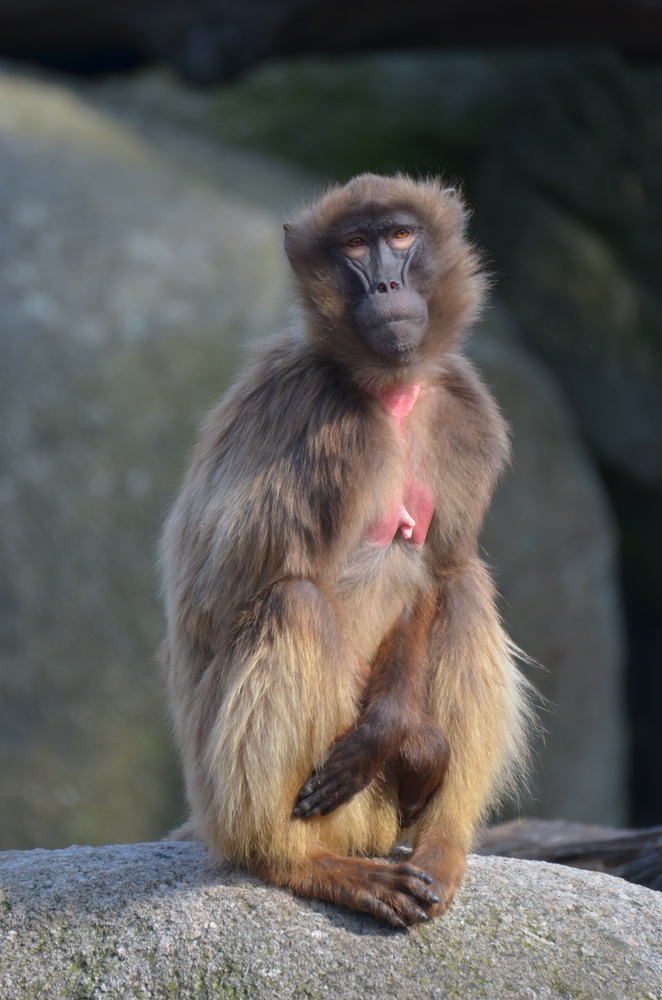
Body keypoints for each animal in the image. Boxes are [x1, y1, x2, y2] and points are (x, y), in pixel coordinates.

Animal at [160, 173, 533, 929]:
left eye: (401, 236)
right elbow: (213, 602)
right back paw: (291, 861)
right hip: (287, 797)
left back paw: (441, 846)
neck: (389, 395)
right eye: (355, 246)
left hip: (378, 811)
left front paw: (403, 735)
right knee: (294, 602)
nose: (387, 285)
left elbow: (437, 572)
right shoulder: (307, 412)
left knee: (465, 585)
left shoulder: (466, 413)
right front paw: (410, 741)